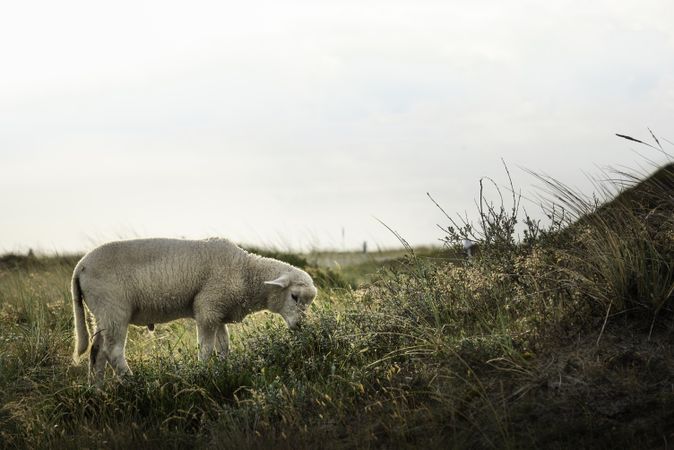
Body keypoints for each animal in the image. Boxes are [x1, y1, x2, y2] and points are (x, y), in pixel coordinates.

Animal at [71, 239, 318, 384]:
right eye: (294, 296)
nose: (301, 326)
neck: (245, 273)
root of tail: (80, 266)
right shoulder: (207, 308)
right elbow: (206, 349)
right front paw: (202, 373)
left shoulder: (218, 311)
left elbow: (223, 347)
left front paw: (223, 370)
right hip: (114, 310)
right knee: (113, 352)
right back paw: (133, 384)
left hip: (100, 314)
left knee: (97, 352)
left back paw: (98, 390)